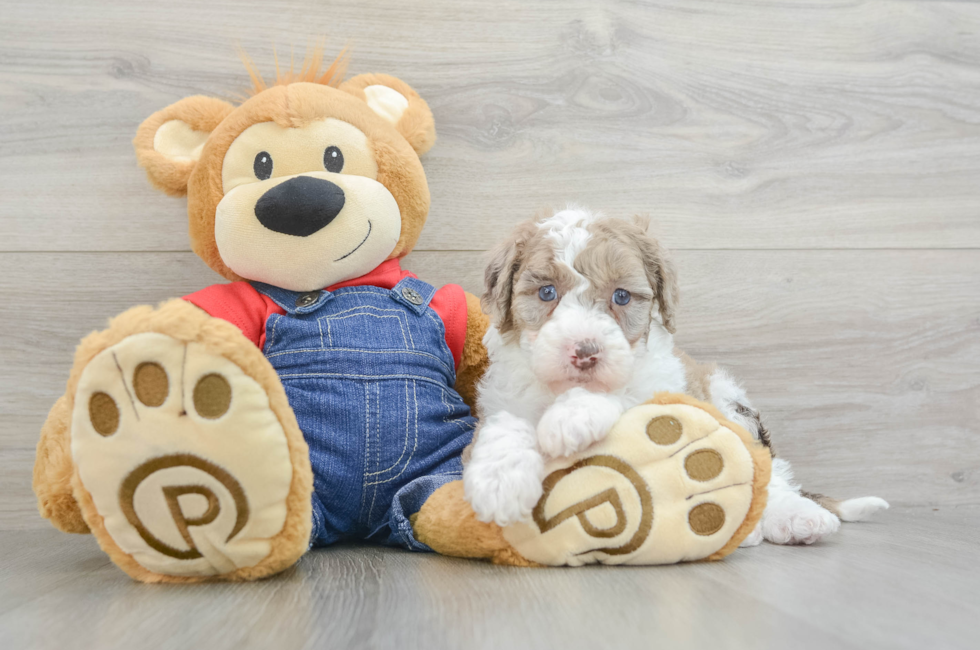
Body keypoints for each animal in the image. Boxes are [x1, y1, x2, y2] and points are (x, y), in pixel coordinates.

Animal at [462, 208, 888, 540]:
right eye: (546, 292)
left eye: (621, 296)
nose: (585, 352)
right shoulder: (502, 399)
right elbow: (505, 425)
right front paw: (499, 482)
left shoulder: (665, 393)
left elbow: (626, 394)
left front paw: (571, 415)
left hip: (729, 401)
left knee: (770, 472)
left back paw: (796, 517)